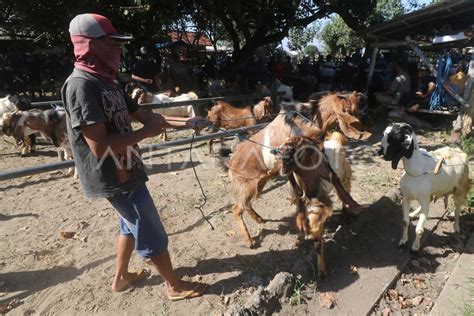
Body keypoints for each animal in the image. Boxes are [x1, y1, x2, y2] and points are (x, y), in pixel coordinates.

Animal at [226, 90, 370, 247]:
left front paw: (355, 207)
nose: (363, 97)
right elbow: (300, 191)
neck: (310, 119)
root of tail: (231, 163)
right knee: (236, 209)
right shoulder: (292, 167)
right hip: (247, 185)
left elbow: (333, 177)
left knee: (245, 204)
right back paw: (249, 240)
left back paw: (260, 220)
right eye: (349, 105)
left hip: (259, 183)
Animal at [378, 122, 470, 253]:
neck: (416, 170)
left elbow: (419, 229)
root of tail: (459, 151)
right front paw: (403, 241)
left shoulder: (424, 200)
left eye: (393, 136)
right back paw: (413, 214)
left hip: (460, 190)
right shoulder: (406, 197)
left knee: (457, 208)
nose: (379, 151)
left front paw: (415, 247)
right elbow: (405, 222)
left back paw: (456, 227)